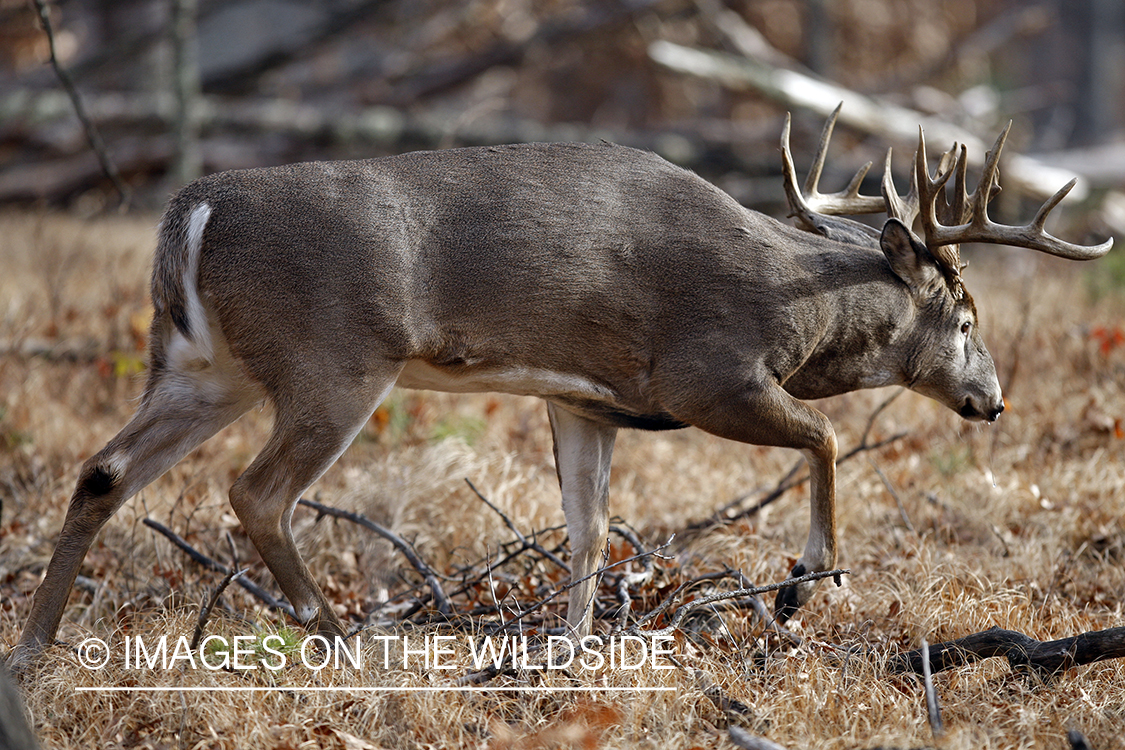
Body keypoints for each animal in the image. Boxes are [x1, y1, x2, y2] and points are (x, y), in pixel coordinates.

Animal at [8, 106, 1111, 670]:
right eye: (966, 318)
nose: (993, 400)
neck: (793, 305)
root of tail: (189, 210)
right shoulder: (704, 372)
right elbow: (827, 440)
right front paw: (801, 585)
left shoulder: (583, 399)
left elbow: (587, 526)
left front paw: (569, 650)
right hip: (334, 359)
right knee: (256, 490)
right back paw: (346, 638)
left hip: (204, 365)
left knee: (103, 471)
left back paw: (34, 648)